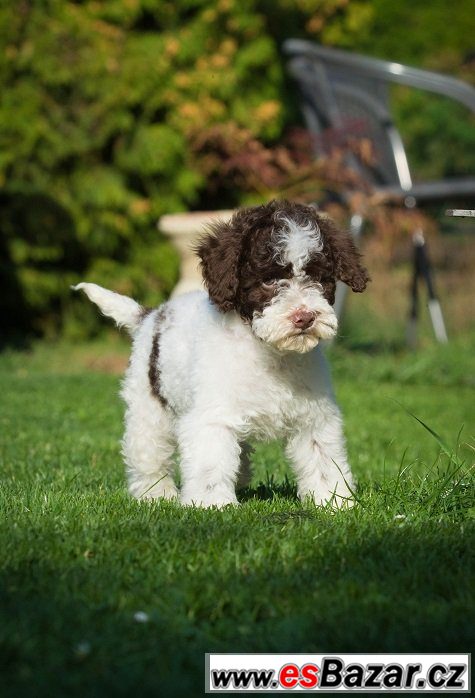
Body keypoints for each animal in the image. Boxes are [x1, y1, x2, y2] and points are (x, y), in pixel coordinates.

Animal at [75, 198, 372, 508]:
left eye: (318, 277)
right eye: (268, 281)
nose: (304, 317)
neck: (269, 352)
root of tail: (150, 315)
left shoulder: (314, 418)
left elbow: (323, 460)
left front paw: (334, 502)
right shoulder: (212, 417)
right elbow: (210, 462)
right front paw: (212, 505)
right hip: (149, 410)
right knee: (148, 455)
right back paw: (156, 494)